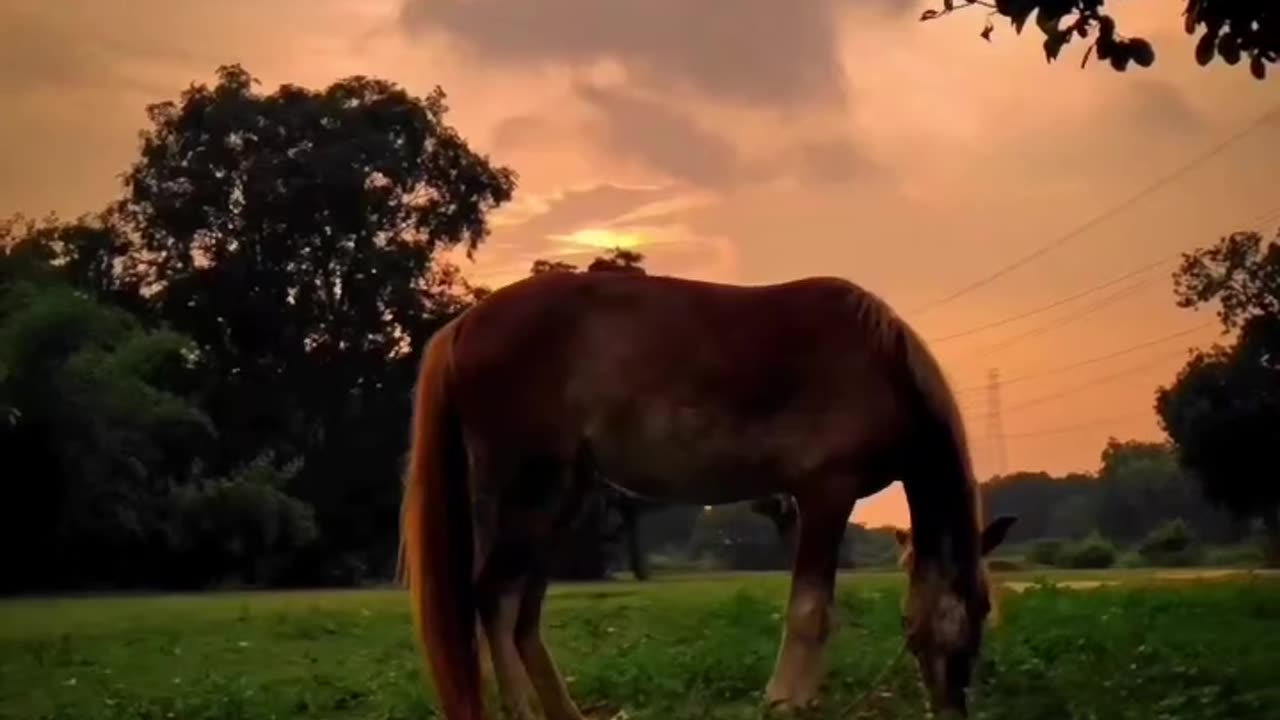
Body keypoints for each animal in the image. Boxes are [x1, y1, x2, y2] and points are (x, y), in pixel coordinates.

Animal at [394, 270, 1013, 717]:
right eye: (979, 607)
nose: (953, 708)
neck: (880, 365)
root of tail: (464, 325)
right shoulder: (825, 494)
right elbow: (811, 612)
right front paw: (785, 702)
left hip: (563, 502)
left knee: (523, 615)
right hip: (529, 493)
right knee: (494, 600)